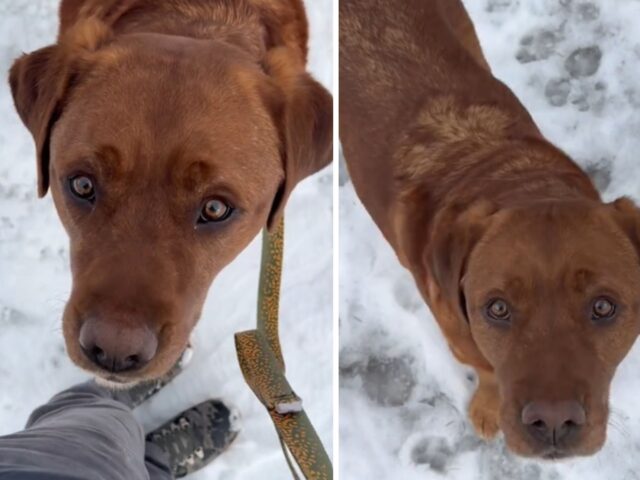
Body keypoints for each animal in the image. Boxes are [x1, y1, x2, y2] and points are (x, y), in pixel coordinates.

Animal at [340, 0, 640, 460]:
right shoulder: (457, 333)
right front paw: (486, 406)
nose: (554, 423)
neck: (511, 177)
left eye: (604, 306)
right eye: (497, 309)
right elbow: (486, 369)